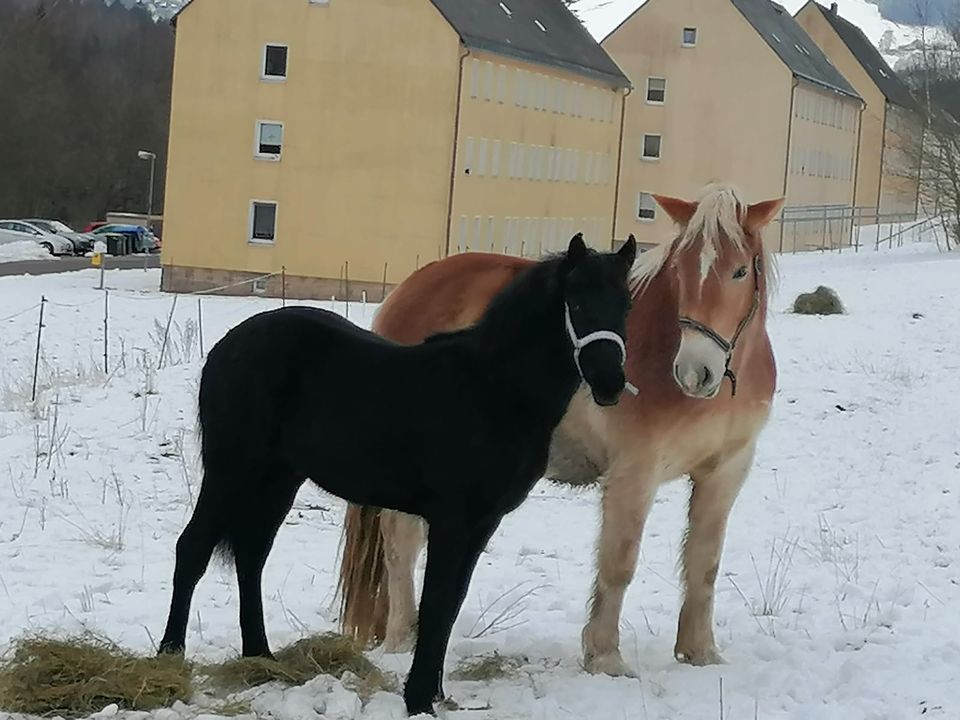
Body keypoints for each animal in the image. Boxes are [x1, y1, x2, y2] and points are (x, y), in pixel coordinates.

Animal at [158, 235, 636, 716]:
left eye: (626, 304)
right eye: (576, 301)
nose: (609, 383)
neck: (493, 389)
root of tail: (230, 344)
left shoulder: (482, 523)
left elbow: (451, 603)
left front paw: (435, 692)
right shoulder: (452, 519)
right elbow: (437, 601)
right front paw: (419, 697)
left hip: (279, 478)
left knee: (251, 555)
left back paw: (260, 656)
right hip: (231, 469)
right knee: (192, 548)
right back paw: (170, 657)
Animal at [342, 184, 784, 676]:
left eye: (740, 271)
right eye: (680, 270)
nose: (695, 372)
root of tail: (405, 292)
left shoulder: (725, 472)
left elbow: (704, 563)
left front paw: (701, 652)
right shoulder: (634, 472)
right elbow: (618, 562)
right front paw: (605, 657)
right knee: (401, 541)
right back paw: (402, 638)